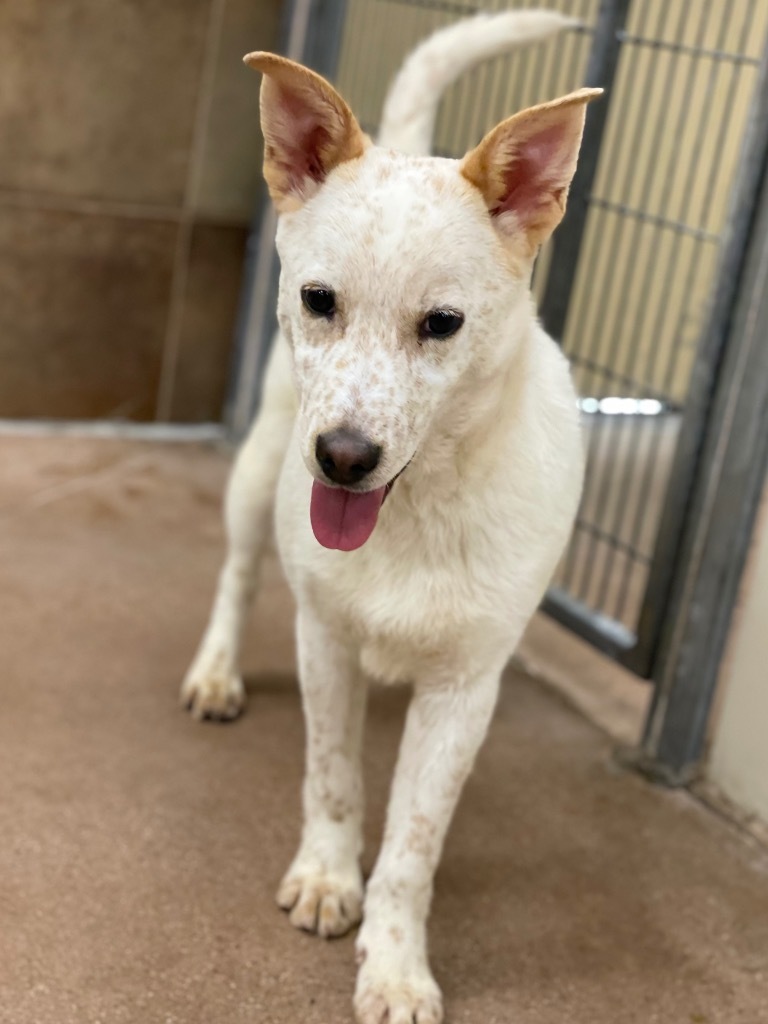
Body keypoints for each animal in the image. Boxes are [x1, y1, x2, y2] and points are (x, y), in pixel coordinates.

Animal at [183, 14, 598, 1024]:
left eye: (442, 324)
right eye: (318, 300)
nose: (342, 456)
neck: (413, 509)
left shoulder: (465, 690)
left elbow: (415, 840)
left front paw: (397, 964)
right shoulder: (324, 637)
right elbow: (334, 777)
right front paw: (329, 880)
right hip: (258, 469)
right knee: (236, 577)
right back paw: (215, 671)